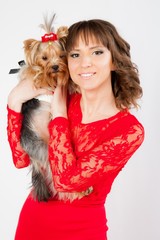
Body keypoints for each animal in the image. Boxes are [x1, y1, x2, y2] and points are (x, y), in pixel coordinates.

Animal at [15, 14, 92, 202]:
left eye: (62, 55)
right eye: (44, 58)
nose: (55, 67)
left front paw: (74, 84)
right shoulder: (27, 75)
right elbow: (32, 72)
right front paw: (41, 76)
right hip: (42, 148)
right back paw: (80, 191)